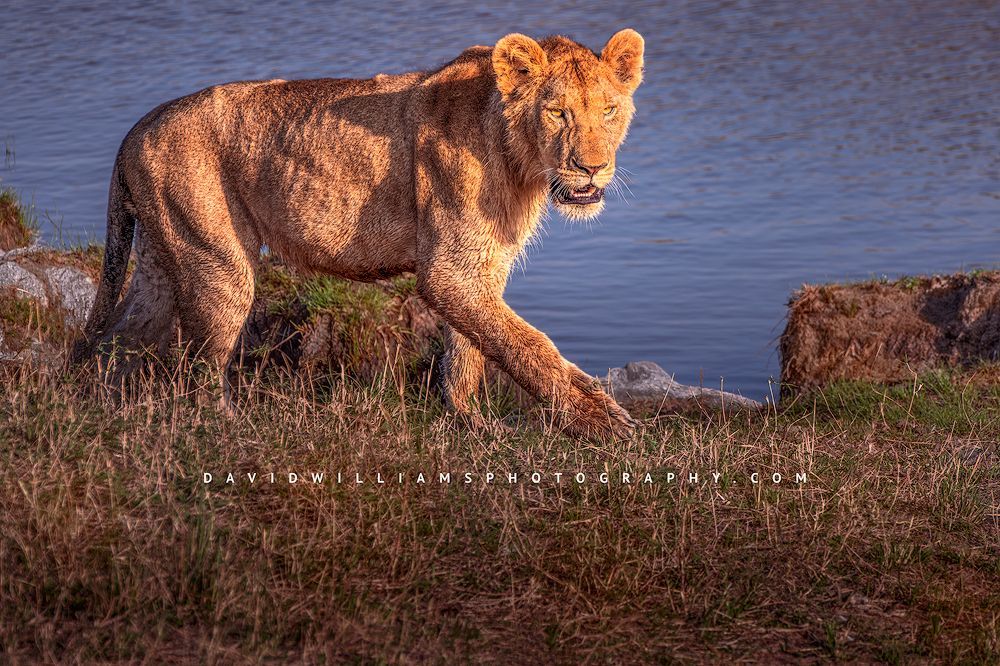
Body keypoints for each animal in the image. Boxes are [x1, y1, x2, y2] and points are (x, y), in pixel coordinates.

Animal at [73, 29, 645, 440]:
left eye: (609, 110)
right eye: (557, 112)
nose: (591, 168)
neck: (518, 158)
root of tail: (137, 127)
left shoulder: (484, 266)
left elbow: (471, 349)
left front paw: (470, 423)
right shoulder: (449, 271)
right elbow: (527, 344)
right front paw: (602, 421)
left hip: (159, 259)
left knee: (120, 335)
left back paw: (99, 408)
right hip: (218, 263)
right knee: (198, 370)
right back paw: (225, 429)